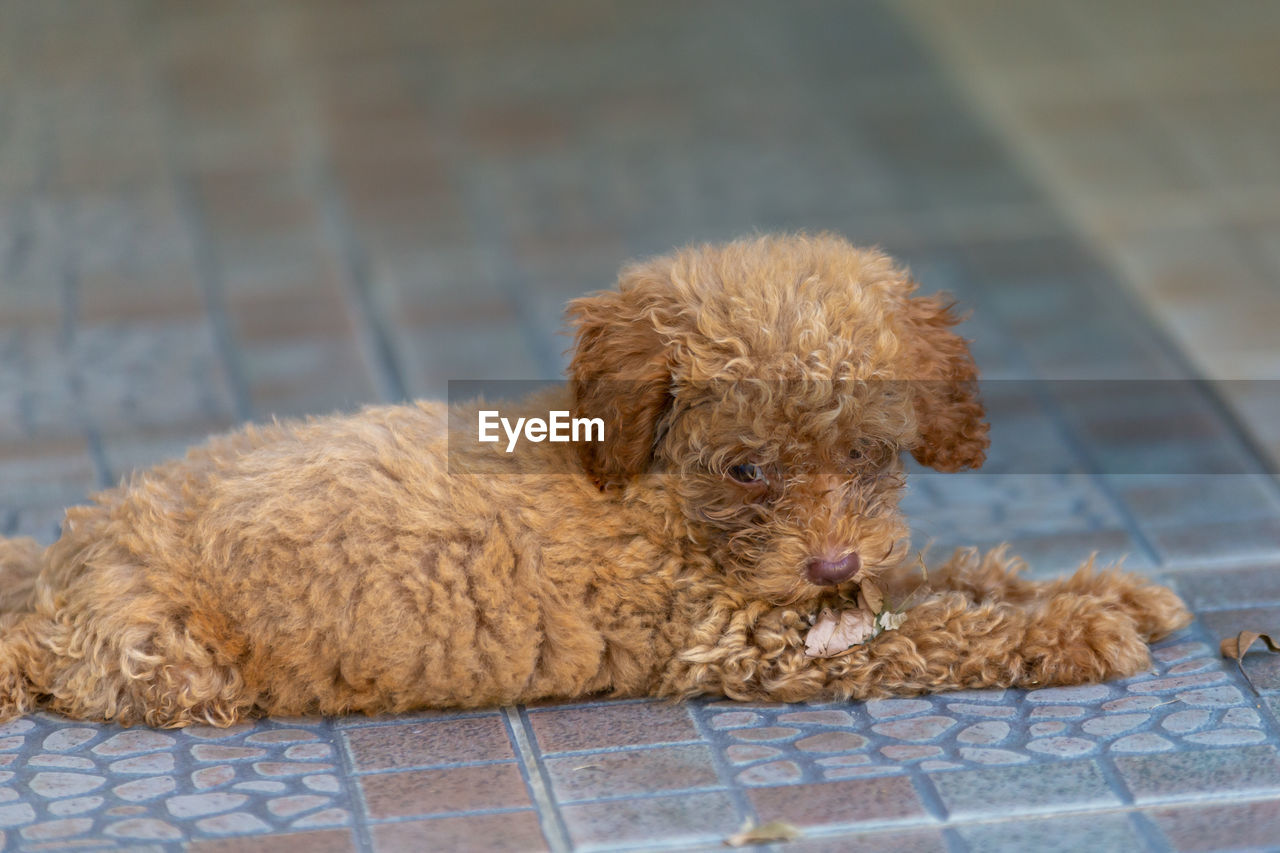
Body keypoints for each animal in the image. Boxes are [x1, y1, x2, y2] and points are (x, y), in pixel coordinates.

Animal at [0, 233, 1187, 722]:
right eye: (746, 467)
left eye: (865, 453)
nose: (827, 562)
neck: (657, 497)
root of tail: (59, 561)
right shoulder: (749, 640)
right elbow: (939, 629)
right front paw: (1077, 627)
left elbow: (949, 578)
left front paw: (1109, 589)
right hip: (172, 660)